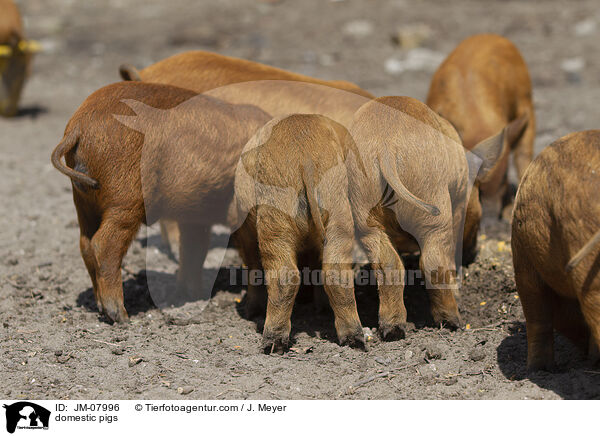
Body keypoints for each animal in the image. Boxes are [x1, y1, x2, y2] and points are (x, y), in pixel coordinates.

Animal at [52, 82, 270, 322]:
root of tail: (79, 127)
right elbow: (252, 255)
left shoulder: (195, 217)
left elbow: (193, 251)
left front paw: (191, 294)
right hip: (125, 199)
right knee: (103, 244)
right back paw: (121, 316)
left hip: (83, 202)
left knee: (85, 244)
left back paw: (101, 308)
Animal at [232, 114, 366, 352]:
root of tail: (306, 156)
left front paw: (251, 311)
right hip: (338, 207)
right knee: (336, 271)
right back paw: (354, 340)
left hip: (275, 209)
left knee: (284, 274)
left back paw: (272, 344)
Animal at [426, 33, 536, 221]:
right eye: (478, 186)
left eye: (504, 177)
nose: (491, 220)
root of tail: (491, 36)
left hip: (526, 100)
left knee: (523, 155)